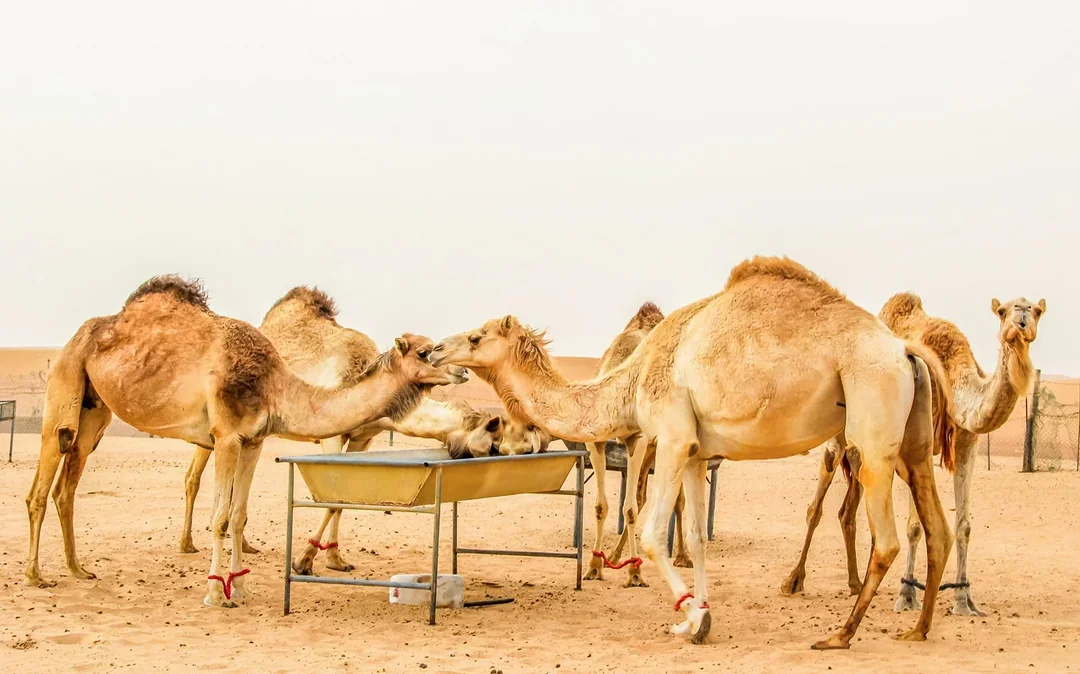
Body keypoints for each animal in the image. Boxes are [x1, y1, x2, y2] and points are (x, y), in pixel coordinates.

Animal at [25, 276, 455, 608]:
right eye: (425, 351)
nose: (459, 372)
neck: (273, 385)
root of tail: (80, 335)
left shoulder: (253, 441)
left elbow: (238, 515)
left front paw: (243, 588)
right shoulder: (228, 436)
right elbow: (220, 517)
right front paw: (217, 594)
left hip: (94, 412)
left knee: (67, 486)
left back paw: (77, 568)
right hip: (65, 385)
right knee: (42, 483)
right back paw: (35, 575)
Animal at [431, 256, 957, 649]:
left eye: (476, 337)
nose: (435, 350)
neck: (632, 379)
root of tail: (905, 349)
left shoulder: (670, 437)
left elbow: (650, 533)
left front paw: (688, 619)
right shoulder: (697, 452)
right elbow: (699, 539)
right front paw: (702, 615)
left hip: (872, 423)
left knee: (887, 539)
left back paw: (840, 634)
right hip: (912, 442)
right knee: (937, 527)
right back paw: (918, 628)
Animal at [781, 293, 1045, 618]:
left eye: (1037, 310)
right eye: (1003, 311)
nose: (1021, 318)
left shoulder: (967, 442)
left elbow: (965, 525)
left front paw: (964, 600)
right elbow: (915, 526)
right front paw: (907, 595)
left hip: (864, 450)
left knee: (848, 512)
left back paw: (856, 584)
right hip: (835, 439)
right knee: (815, 507)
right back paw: (794, 580)